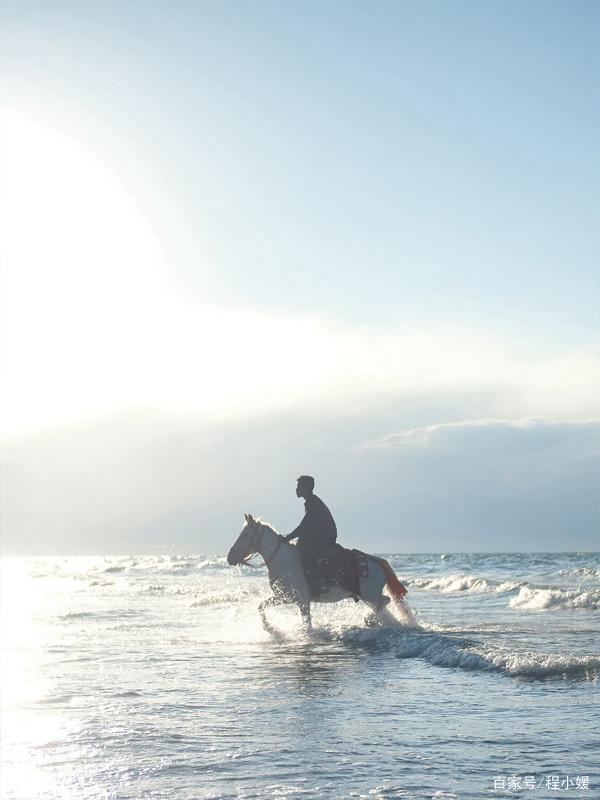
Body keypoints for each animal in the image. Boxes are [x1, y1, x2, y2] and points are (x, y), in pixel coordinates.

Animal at [225, 516, 408, 636]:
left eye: (245, 535)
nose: (230, 557)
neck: (284, 561)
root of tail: (378, 561)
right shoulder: (285, 597)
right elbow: (261, 606)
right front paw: (270, 629)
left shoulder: (302, 600)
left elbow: (307, 623)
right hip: (367, 596)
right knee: (382, 605)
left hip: (370, 595)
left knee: (384, 602)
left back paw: (370, 621)